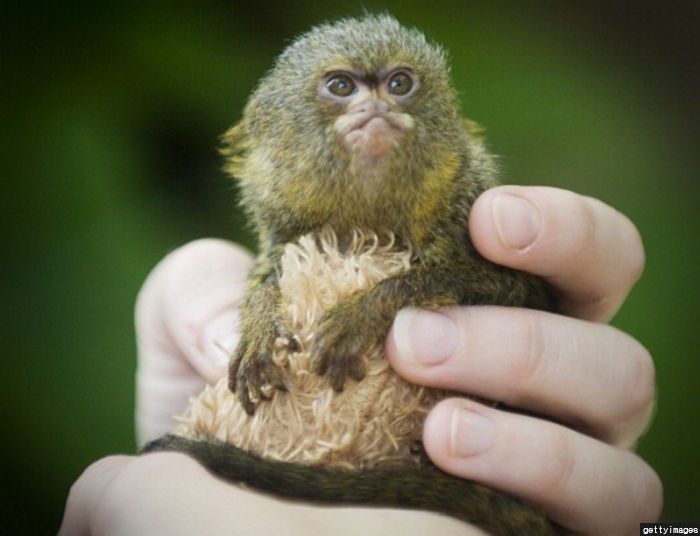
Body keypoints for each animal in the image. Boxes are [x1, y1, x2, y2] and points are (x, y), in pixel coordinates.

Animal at [144, 14, 556, 532]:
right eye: (342, 86)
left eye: (399, 84)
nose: (377, 107)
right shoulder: (286, 233)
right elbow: (266, 282)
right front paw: (259, 325)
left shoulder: (464, 214)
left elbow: (489, 285)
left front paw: (359, 315)